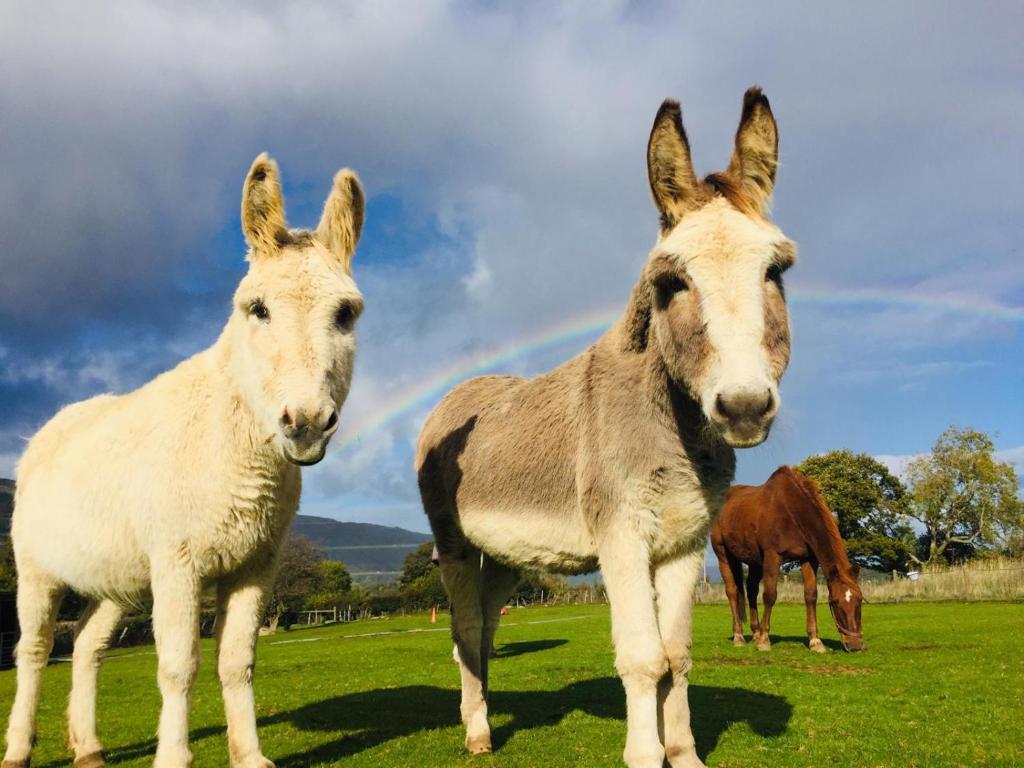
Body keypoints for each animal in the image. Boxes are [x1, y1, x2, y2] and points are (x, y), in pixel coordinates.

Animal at [712, 466, 864, 651]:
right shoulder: (772, 557)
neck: (791, 512)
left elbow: (811, 595)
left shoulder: (808, 559)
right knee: (732, 592)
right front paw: (764, 641)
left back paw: (755, 633)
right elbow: (770, 595)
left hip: (755, 561)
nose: (855, 645)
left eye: (860, 600)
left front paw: (815, 641)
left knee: (751, 590)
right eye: (835, 602)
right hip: (723, 555)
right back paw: (739, 636)